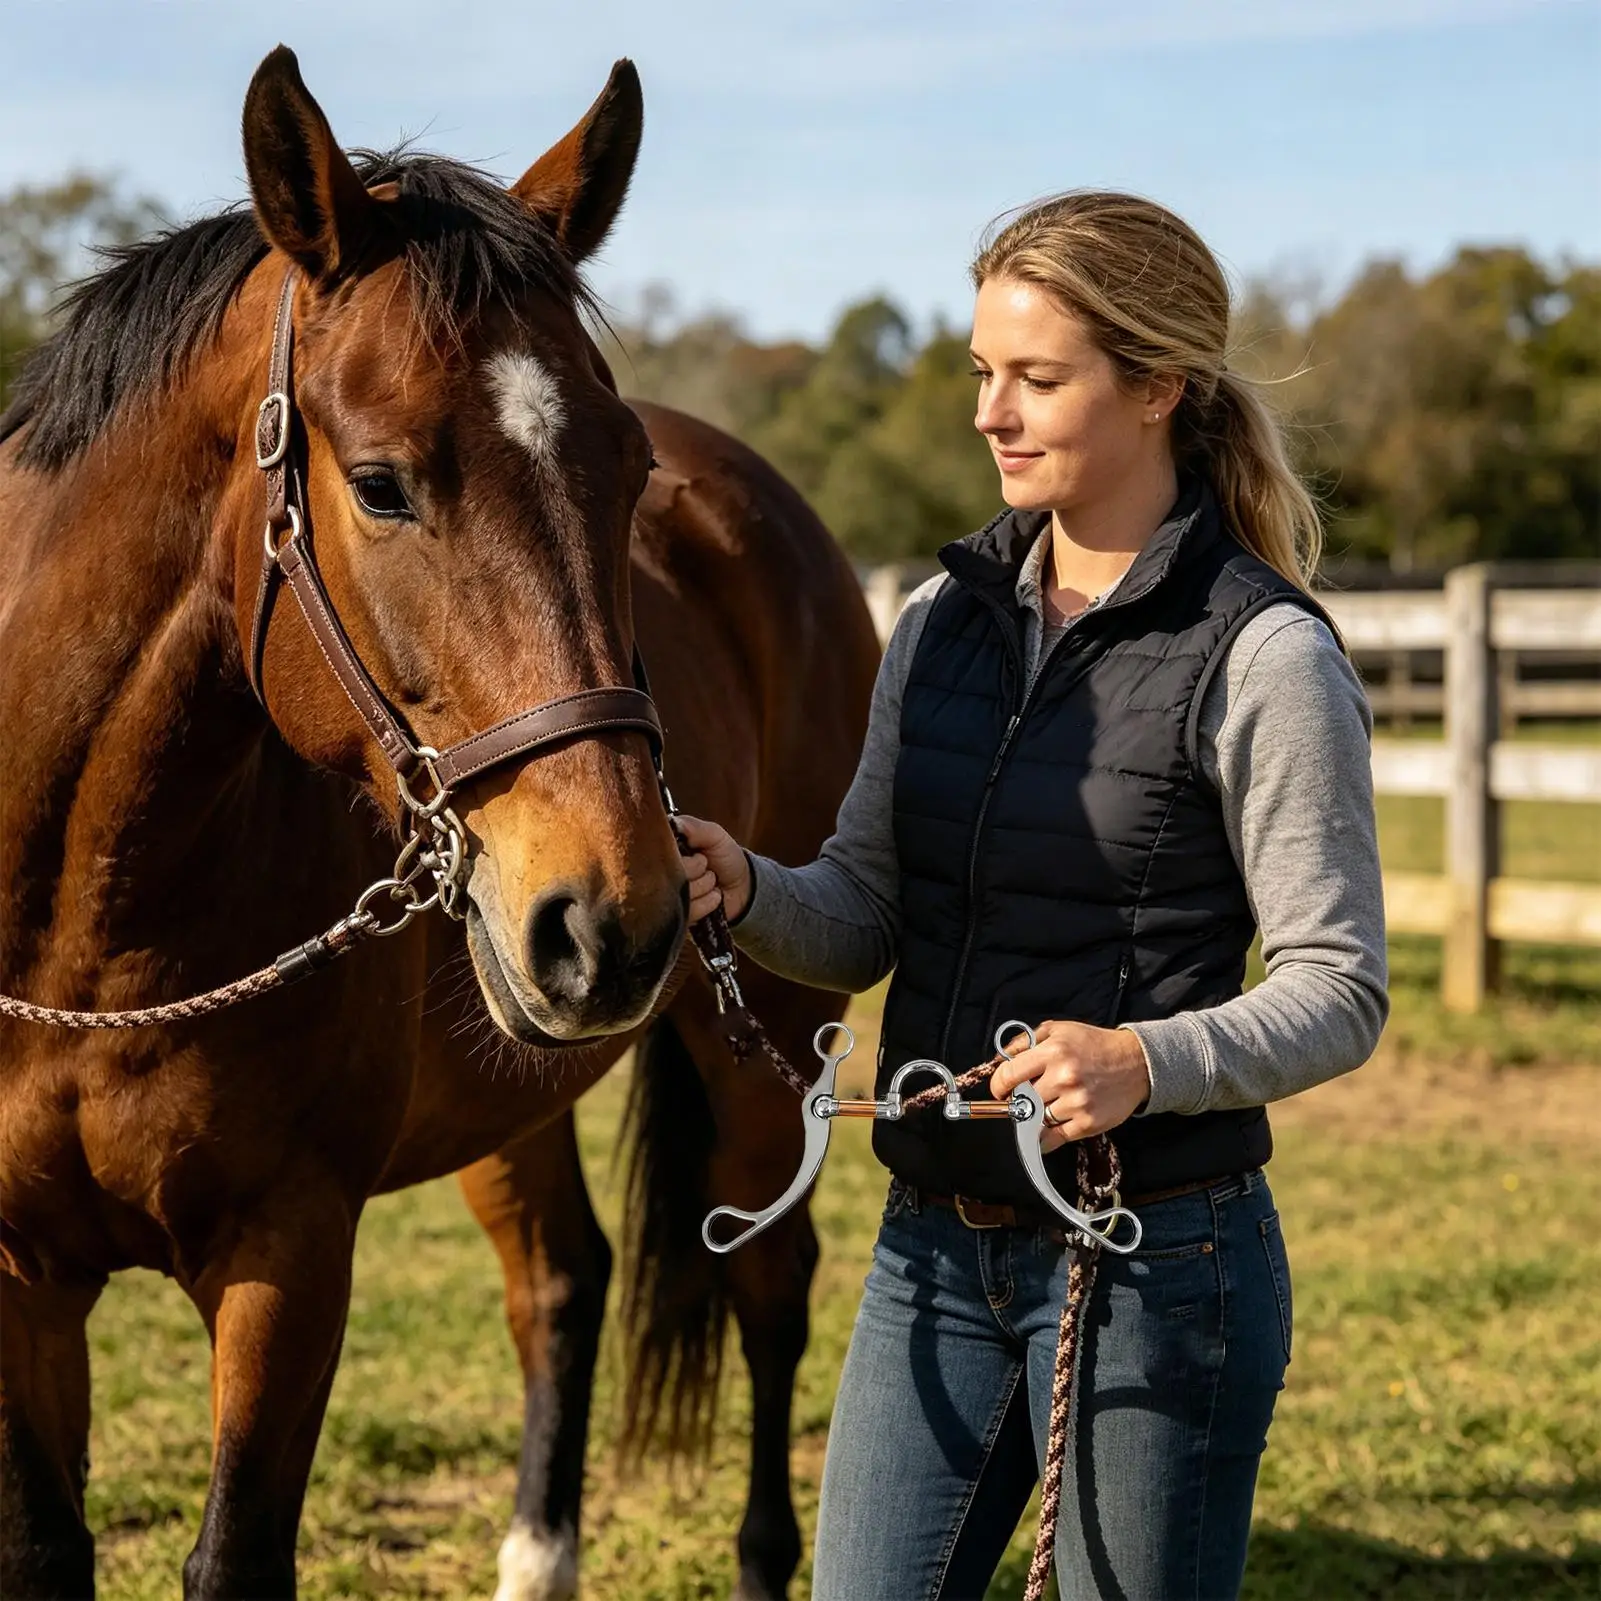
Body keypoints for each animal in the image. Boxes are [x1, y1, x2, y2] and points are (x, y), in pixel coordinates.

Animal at [0, 47, 878, 1601]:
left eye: (626, 471)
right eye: (380, 483)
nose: (618, 917)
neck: (84, 928)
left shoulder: (288, 1258)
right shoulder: (21, 1285)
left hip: (760, 1029)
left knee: (768, 1286)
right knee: (562, 1280)